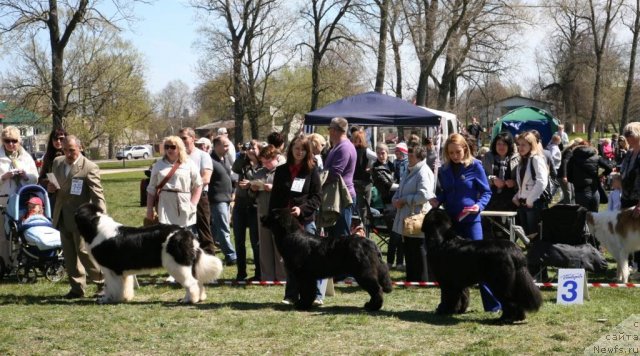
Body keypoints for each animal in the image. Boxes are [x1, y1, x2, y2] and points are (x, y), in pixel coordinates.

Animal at [74, 203, 222, 304]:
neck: (94, 226)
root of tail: (186, 233)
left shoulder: (110, 270)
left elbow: (111, 286)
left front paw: (107, 299)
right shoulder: (122, 271)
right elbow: (125, 285)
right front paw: (125, 298)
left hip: (177, 265)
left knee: (191, 283)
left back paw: (189, 300)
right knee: (197, 281)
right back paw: (199, 298)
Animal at [262, 209, 392, 312]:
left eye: (270, 214)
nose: (261, 217)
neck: (290, 235)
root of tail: (370, 244)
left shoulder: (304, 275)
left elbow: (306, 291)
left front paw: (302, 305)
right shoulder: (309, 277)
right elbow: (310, 291)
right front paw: (306, 304)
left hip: (363, 273)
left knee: (377, 289)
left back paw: (373, 306)